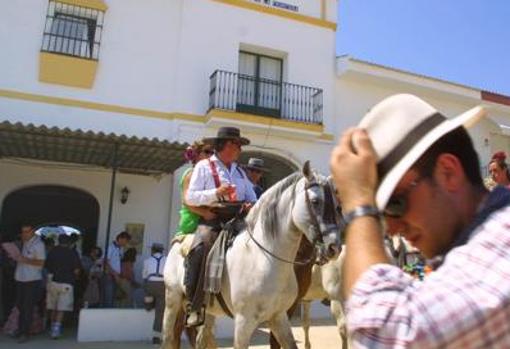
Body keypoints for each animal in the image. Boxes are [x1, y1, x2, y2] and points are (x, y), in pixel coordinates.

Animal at [161, 163, 340, 348]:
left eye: (336, 205)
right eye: (315, 201)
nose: (334, 247)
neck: (265, 260)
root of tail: (179, 240)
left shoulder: (279, 316)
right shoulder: (244, 322)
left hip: (209, 310)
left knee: (202, 339)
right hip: (173, 301)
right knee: (169, 338)